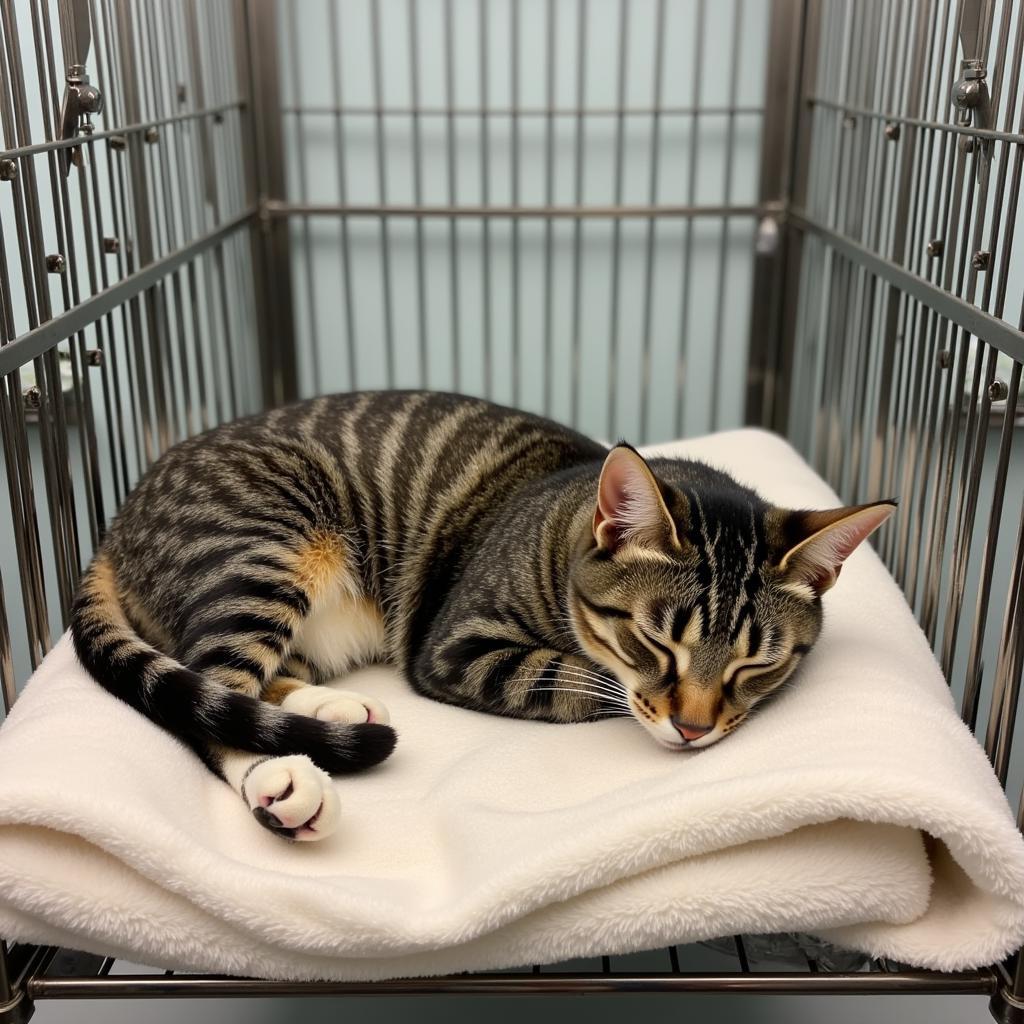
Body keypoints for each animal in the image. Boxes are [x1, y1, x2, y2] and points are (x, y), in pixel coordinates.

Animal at [72, 391, 892, 839]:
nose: (692, 729)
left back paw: (333, 708)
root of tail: (114, 527)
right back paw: (280, 775)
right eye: (654, 641)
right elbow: (581, 685)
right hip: (264, 548)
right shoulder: (460, 646)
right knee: (211, 686)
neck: (561, 518)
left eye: (758, 663)